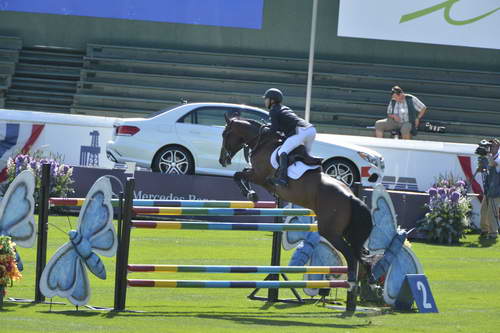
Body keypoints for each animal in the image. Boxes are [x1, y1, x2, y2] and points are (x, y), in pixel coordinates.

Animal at [217, 115, 374, 310]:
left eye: (225, 134)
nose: (222, 160)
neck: (262, 141)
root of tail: (351, 196)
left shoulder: (259, 176)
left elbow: (238, 175)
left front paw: (250, 194)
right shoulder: (258, 176)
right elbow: (242, 173)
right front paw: (253, 194)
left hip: (330, 232)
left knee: (352, 255)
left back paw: (352, 283)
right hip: (346, 232)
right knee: (362, 257)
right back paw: (366, 283)